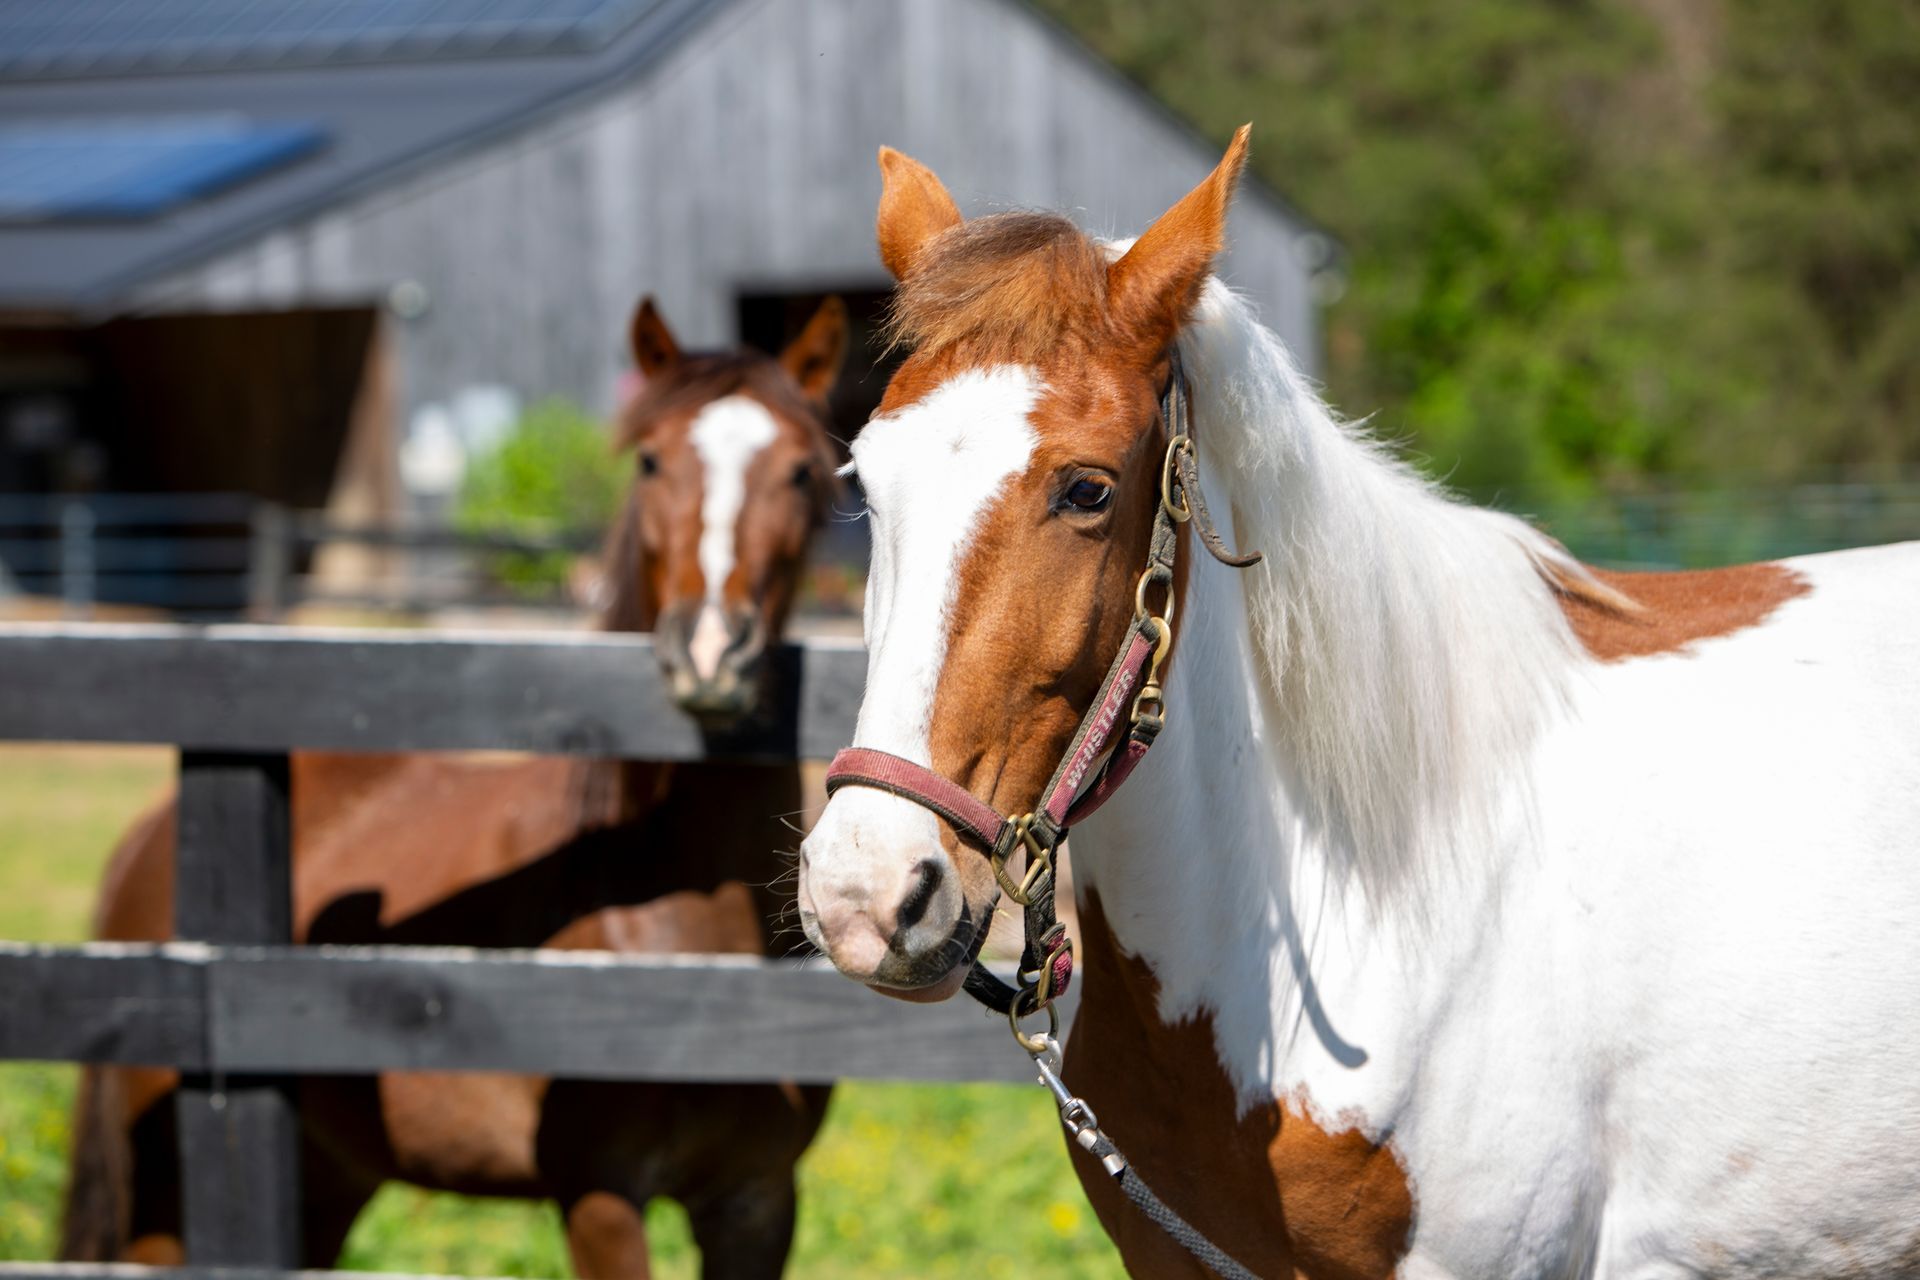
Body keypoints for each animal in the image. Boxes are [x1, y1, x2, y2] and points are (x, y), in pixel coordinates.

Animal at [63, 294, 851, 1280]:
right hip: (168, 1203)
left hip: (330, 1177)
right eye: (649, 459)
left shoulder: (756, 1202)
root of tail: (147, 841)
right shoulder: (600, 1198)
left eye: (800, 470)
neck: (663, 917)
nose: (710, 651)